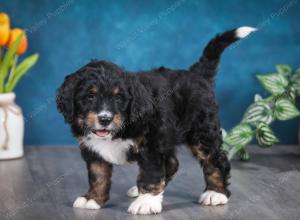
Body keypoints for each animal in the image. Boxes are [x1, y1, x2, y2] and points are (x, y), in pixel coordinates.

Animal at [55, 26, 255, 215]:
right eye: (90, 97)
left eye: (118, 98)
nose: (105, 118)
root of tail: (196, 75)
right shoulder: (93, 148)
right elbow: (98, 175)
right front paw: (93, 199)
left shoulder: (151, 144)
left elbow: (151, 173)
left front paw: (146, 202)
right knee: (172, 163)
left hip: (202, 132)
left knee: (215, 160)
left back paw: (216, 193)